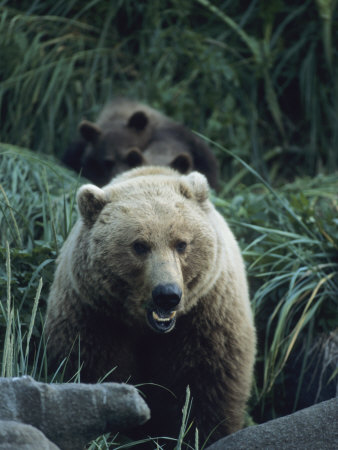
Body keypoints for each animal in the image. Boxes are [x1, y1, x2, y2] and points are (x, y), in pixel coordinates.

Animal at [45, 167, 256, 444]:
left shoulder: (206, 318)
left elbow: (206, 389)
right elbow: (96, 372)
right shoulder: (95, 316)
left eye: (182, 243)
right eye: (139, 245)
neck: (146, 328)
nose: (167, 294)